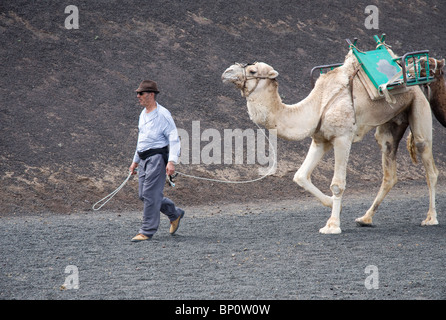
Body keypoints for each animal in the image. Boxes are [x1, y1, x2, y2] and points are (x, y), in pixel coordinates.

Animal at [221, 50, 438, 235]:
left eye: (252, 70)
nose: (226, 72)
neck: (316, 105)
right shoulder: (320, 139)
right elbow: (300, 176)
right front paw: (335, 207)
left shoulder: (342, 137)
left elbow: (337, 184)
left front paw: (332, 225)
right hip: (390, 124)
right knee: (389, 171)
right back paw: (365, 218)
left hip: (418, 105)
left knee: (428, 163)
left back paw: (430, 218)